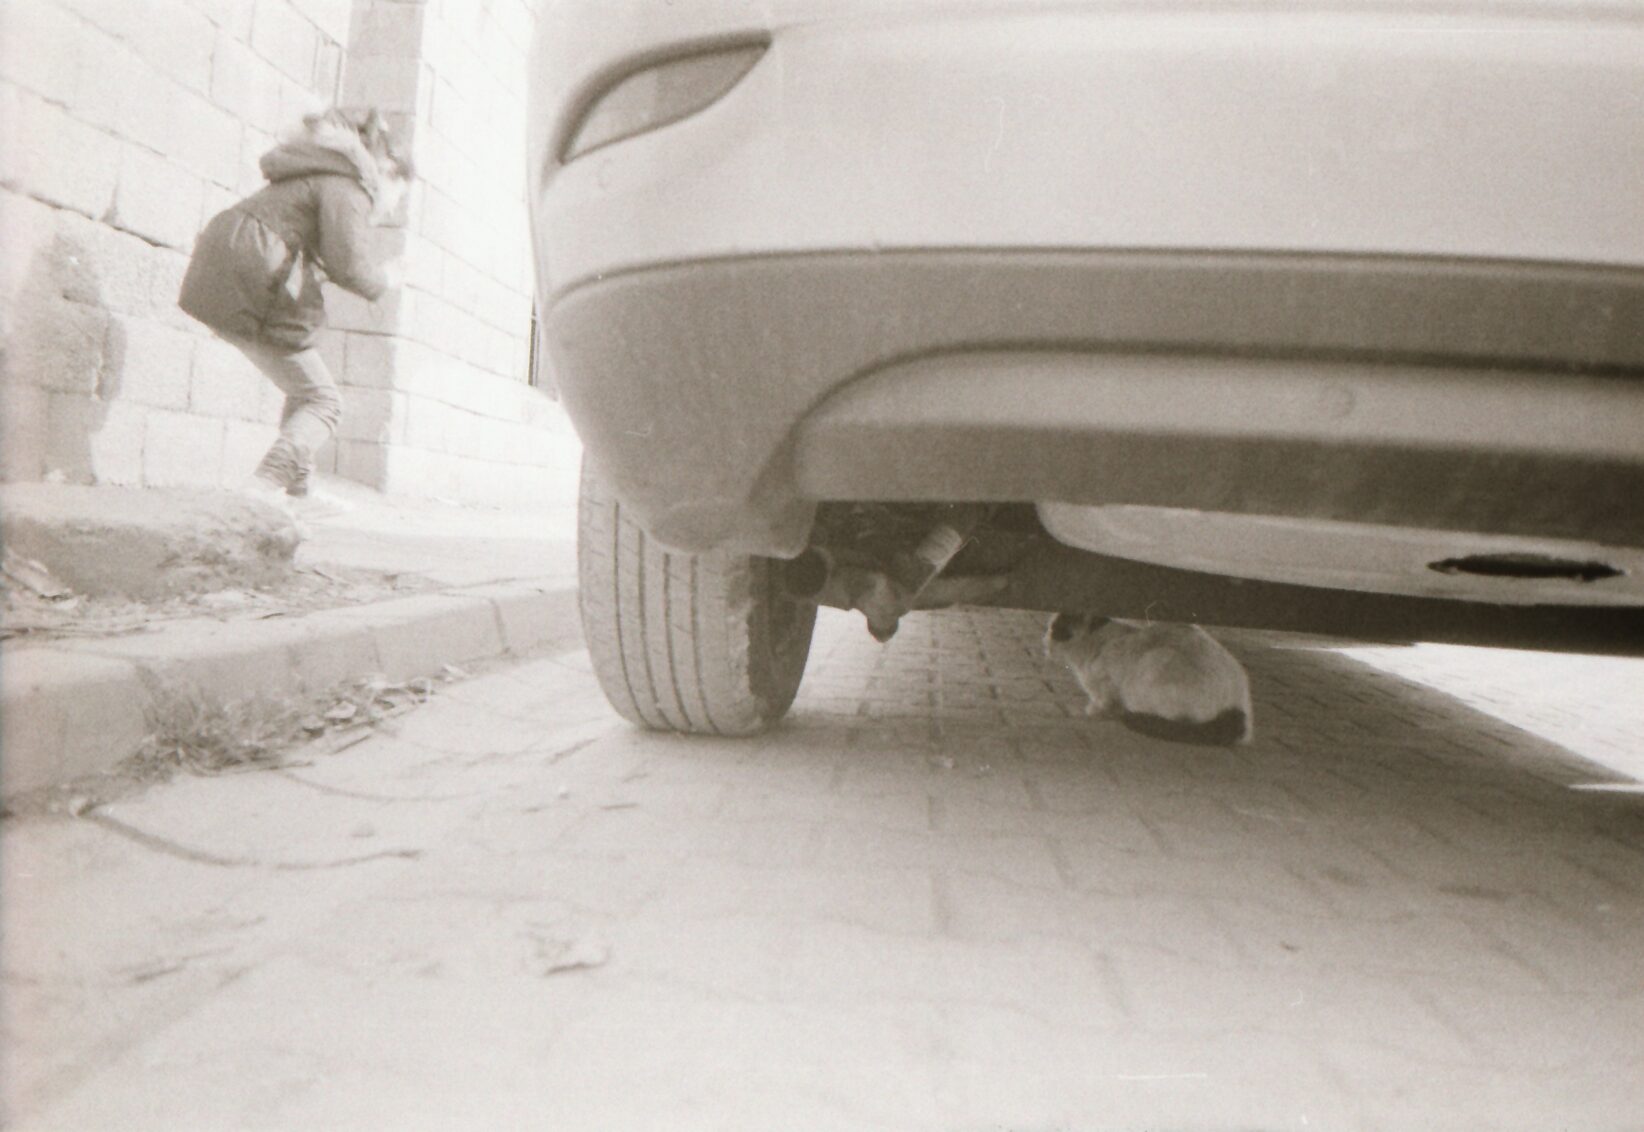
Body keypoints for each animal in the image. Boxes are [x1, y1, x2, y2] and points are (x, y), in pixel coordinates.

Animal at [1045, 614, 1249, 745]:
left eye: (1055, 629)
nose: (1044, 640)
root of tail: (1239, 708)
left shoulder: (1108, 686)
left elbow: (1104, 703)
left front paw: (1093, 711)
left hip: (1152, 666)